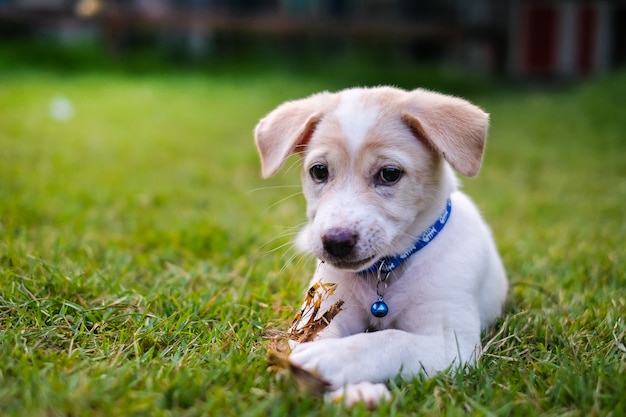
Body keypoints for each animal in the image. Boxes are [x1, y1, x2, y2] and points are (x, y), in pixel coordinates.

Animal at [254, 85, 508, 406]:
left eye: (389, 173)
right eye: (319, 171)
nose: (336, 242)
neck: (385, 271)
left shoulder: (452, 344)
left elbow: (390, 339)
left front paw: (327, 358)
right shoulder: (323, 310)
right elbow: (316, 335)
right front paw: (353, 390)